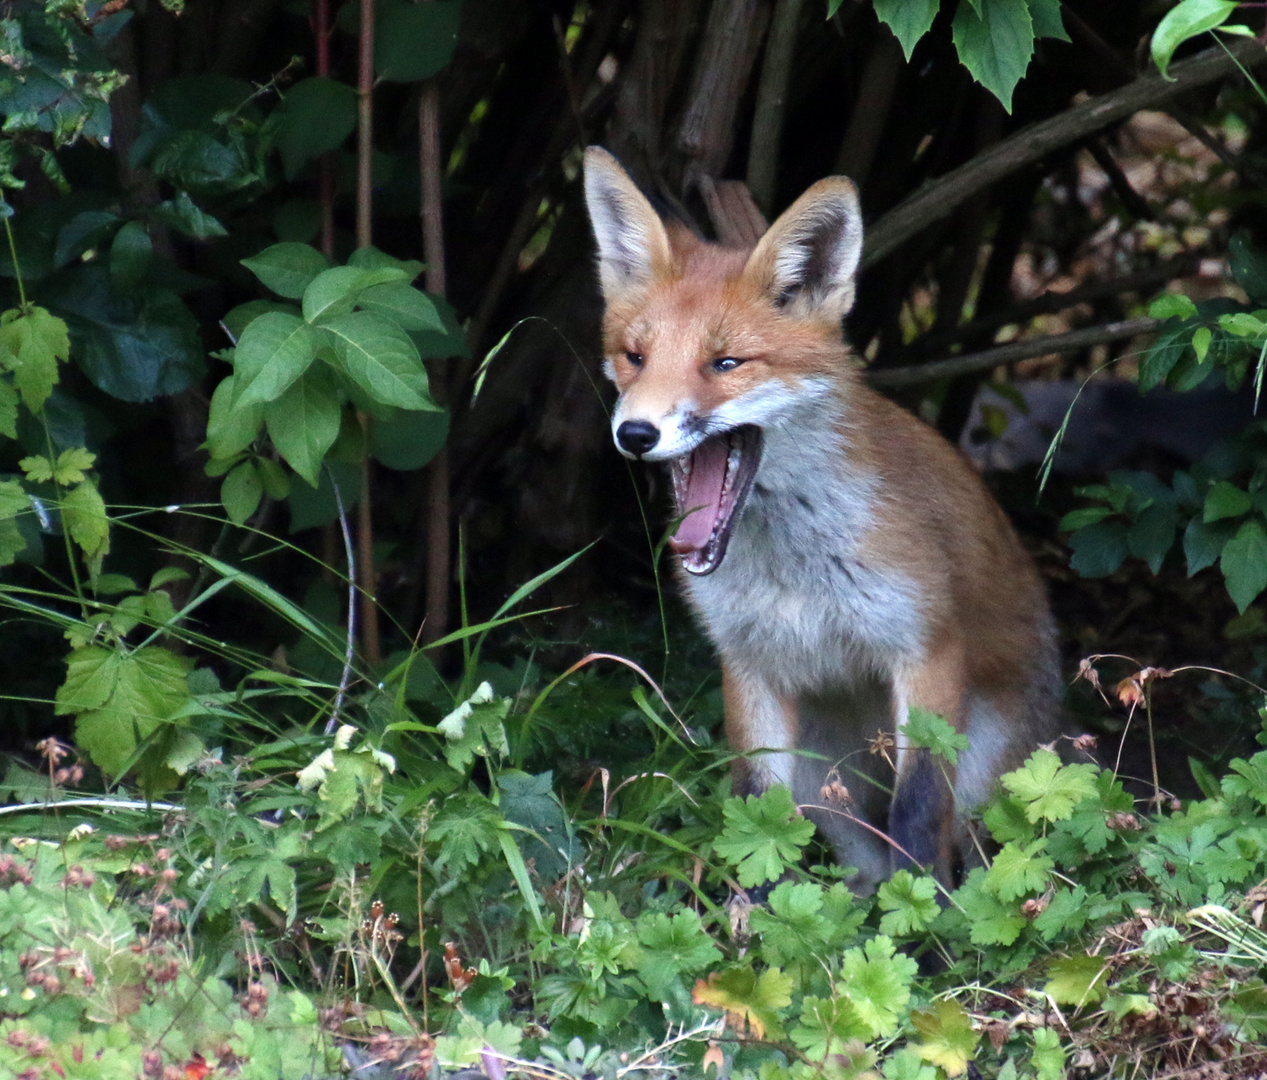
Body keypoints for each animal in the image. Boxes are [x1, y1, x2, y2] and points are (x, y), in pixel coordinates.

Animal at [580, 147, 1059, 892]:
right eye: (635, 357)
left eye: (725, 363)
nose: (634, 433)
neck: (795, 573)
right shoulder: (749, 666)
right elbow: (757, 813)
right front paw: (755, 918)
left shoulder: (925, 650)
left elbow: (919, 807)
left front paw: (927, 917)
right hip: (820, 773)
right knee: (851, 856)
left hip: (989, 771)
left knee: (975, 843)